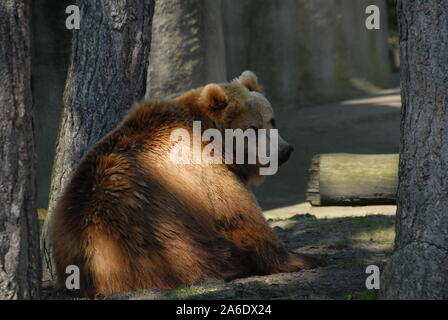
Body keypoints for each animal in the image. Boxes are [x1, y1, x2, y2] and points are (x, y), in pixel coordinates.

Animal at [51, 70, 316, 298]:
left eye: (272, 120)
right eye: (253, 128)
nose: (285, 151)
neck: (214, 139)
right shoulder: (207, 172)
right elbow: (242, 219)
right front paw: (302, 259)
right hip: (162, 242)